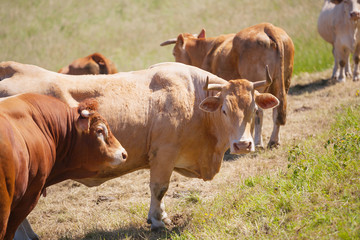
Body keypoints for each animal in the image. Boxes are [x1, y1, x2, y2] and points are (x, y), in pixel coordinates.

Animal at [161, 23, 296, 149]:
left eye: (174, 53)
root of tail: (267, 26)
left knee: (259, 112)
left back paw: (257, 142)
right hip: (284, 82)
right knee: (277, 110)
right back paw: (273, 141)